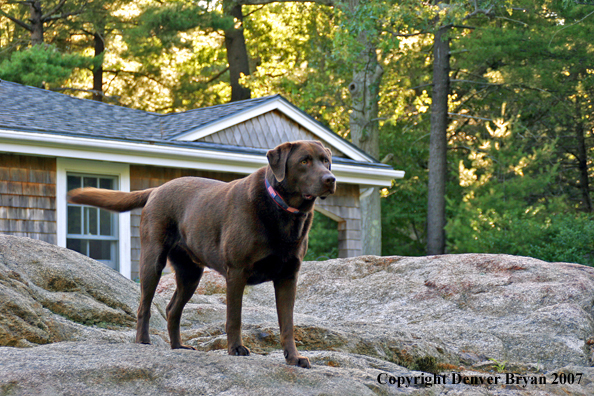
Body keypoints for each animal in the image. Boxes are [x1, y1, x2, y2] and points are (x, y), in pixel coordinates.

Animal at [67, 140, 336, 368]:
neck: (284, 211)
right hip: (152, 260)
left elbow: (288, 324)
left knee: (172, 309)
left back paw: (179, 347)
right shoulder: (237, 272)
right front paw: (236, 349)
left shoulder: (288, 277)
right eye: (304, 161)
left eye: (326, 161)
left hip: (190, 273)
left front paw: (294, 358)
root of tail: (156, 189)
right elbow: (234, 317)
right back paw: (143, 341)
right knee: (144, 305)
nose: (331, 179)